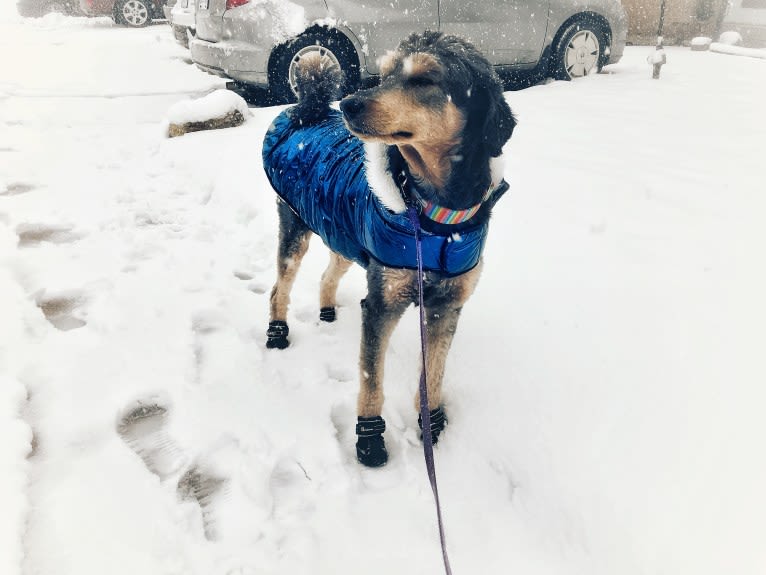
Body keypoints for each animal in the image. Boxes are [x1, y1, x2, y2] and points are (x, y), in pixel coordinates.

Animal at [260, 30, 520, 468]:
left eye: (425, 79)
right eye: (382, 75)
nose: (349, 103)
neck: (433, 216)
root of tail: (309, 110)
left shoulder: (446, 305)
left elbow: (433, 373)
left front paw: (432, 424)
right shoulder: (382, 303)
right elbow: (371, 381)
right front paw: (369, 440)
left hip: (344, 236)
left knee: (328, 273)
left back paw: (327, 310)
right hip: (296, 227)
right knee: (280, 287)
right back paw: (277, 332)